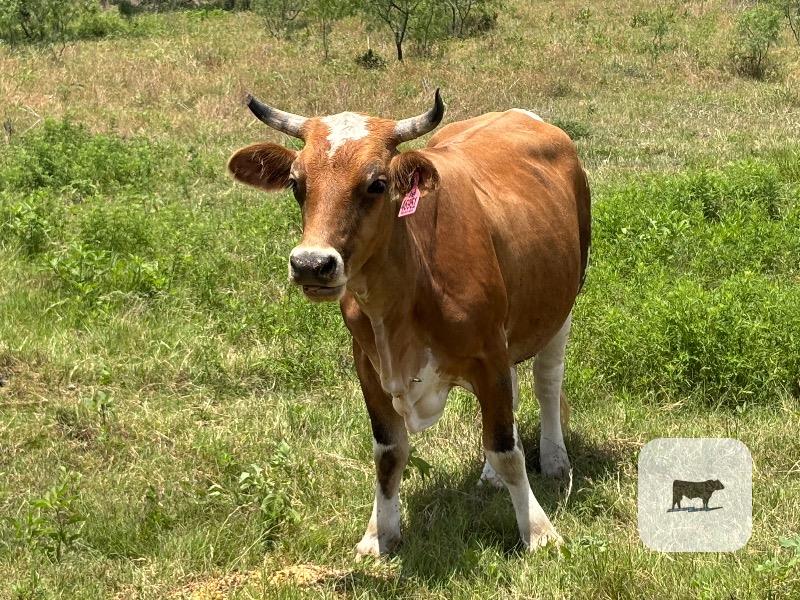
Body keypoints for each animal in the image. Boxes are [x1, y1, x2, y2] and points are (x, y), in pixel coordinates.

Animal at [227, 89, 591, 555]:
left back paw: (554, 458)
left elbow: (506, 449)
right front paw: (379, 532)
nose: (311, 264)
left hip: (562, 303)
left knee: (546, 382)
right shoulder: (368, 365)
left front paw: (538, 531)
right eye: (295, 183)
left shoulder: (488, 354)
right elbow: (389, 452)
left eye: (377, 184)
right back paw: (490, 476)